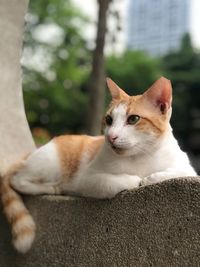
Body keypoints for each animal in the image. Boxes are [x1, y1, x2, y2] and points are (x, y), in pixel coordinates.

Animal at [0, 76, 197, 254]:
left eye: (133, 119)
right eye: (109, 120)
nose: (111, 137)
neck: (139, 156)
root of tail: (30, 153)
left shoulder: (188, 169)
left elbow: (177, 172)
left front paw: (152, 177)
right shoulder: (86, 179)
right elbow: (113, 181)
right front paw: (135, 180)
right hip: (50, 163)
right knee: (17, 179)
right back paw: (53, 188)